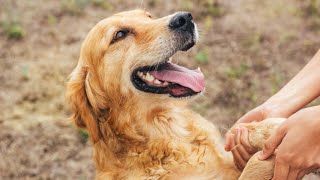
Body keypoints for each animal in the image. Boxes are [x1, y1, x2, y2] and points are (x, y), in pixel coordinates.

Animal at [67, 10, 282, 180]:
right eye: (120, 34)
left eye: (148, 16)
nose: (184, 18)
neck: (167, 126)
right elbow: (256, 164)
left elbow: (236, 132)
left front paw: (268, 129)